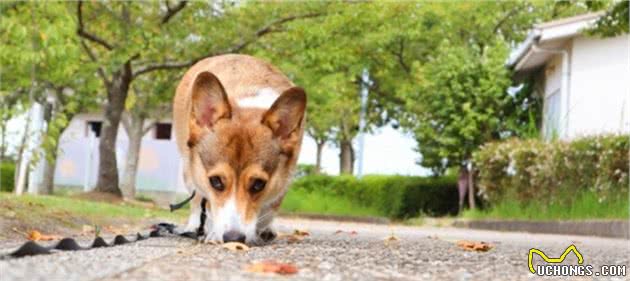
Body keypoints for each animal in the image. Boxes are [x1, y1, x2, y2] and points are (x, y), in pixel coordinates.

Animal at [174, 54, 308, 243]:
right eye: (216, 181)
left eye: (259, 184)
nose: (233, 238)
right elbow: (208, 206)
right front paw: (213, 232)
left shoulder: (285, 177)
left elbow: (270, 209)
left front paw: (262, 228)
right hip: (188, 171)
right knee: (196, 201)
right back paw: (194, 227)